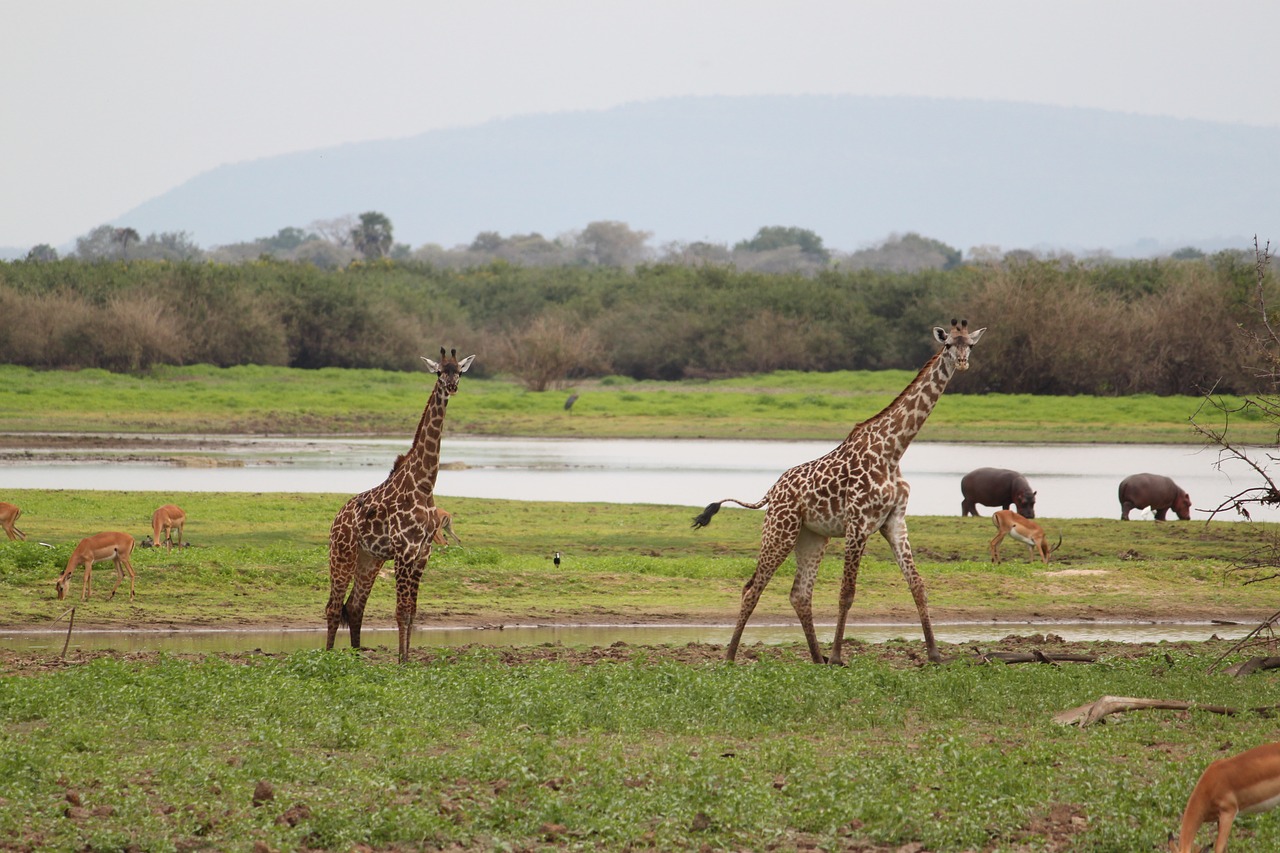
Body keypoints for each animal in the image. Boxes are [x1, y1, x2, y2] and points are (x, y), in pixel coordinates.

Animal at [325, 343, 476, 655]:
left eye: (460, 372)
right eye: (440, 372)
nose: (452, 386)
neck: (424, 484)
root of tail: (336, 519)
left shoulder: (422, 553)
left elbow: (412, 612)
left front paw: (406, 659)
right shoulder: (405, 551)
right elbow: (401, 611)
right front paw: (401, 660)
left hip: (369, 559)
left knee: (354, 606)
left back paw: (356, 657)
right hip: (342, 554)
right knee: (333, 607)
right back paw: (329, 656)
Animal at [696, 318, 983, 666]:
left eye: (970, 345)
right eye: (948, 345)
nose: (962, 363)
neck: (893, 451)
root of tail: (772, 491)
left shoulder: (895, 522)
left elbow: (917, 584)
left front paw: (935, 654)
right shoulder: (858, 524)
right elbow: (847, 592)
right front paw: (836, 656)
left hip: (812, 537)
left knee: (800, 594)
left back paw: (815, 658)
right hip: (780, 530)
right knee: (753, 587)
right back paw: (730, 656)